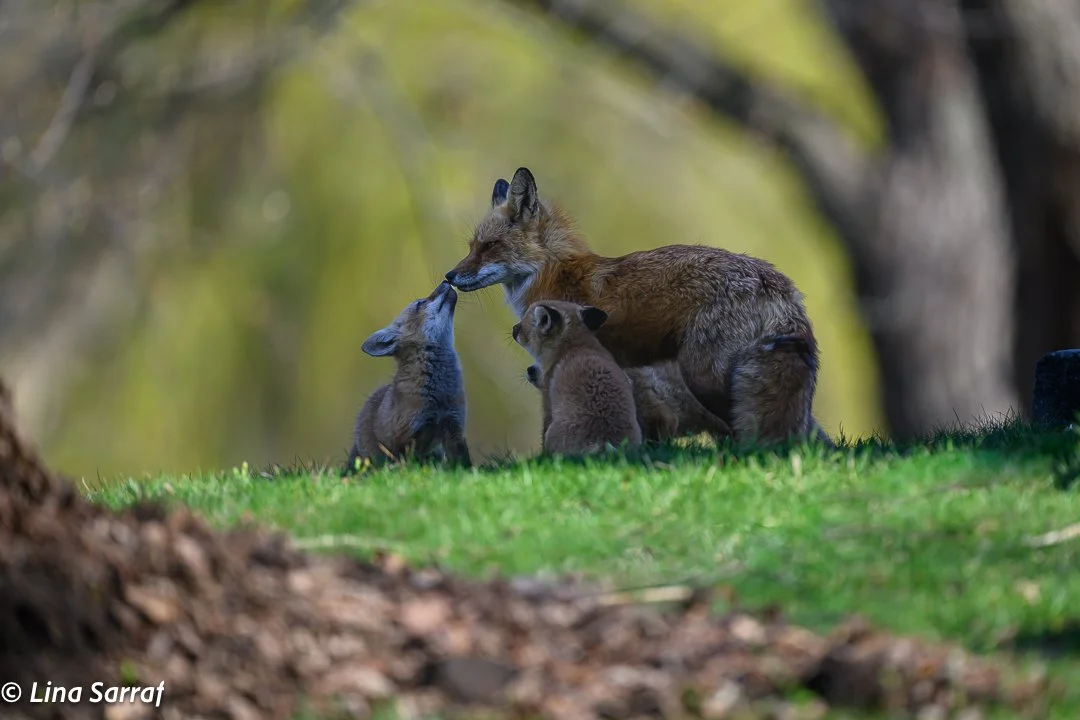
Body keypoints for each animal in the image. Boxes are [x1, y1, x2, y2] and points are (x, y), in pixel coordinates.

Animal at [344, 281, 471, 473]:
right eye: (420, 303)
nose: (445, 281)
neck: (438, 396)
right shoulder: (408, 436)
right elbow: (410, 467)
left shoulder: (454, 426)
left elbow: (463, 463)